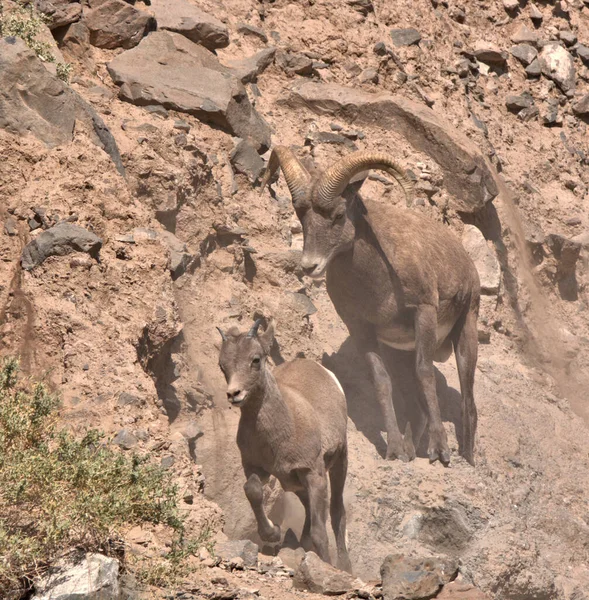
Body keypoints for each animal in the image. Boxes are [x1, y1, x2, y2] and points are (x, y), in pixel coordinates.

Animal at [217, 318, 352, 572]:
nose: (234, 394)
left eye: (256, 359)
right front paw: (272, 532)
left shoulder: (314, 474)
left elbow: (320, 532)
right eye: (222, 365)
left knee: (337, 510)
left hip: (339, 462)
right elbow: (252, 491)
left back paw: (345, 566)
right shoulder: (255, 467)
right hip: (295, 484)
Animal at [262, 148, 482, 466]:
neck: (378, 282)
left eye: (339, 215)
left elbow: (425, 372)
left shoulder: (424, 313)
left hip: (466, 331)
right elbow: (381, 381)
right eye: (300, 215)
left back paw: (466, 457)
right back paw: (410, 451)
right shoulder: (361, 328)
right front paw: (394, 450)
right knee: (416, 405)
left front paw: (439, 451)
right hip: (401, 354)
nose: (310, 266)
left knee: (467, 401)